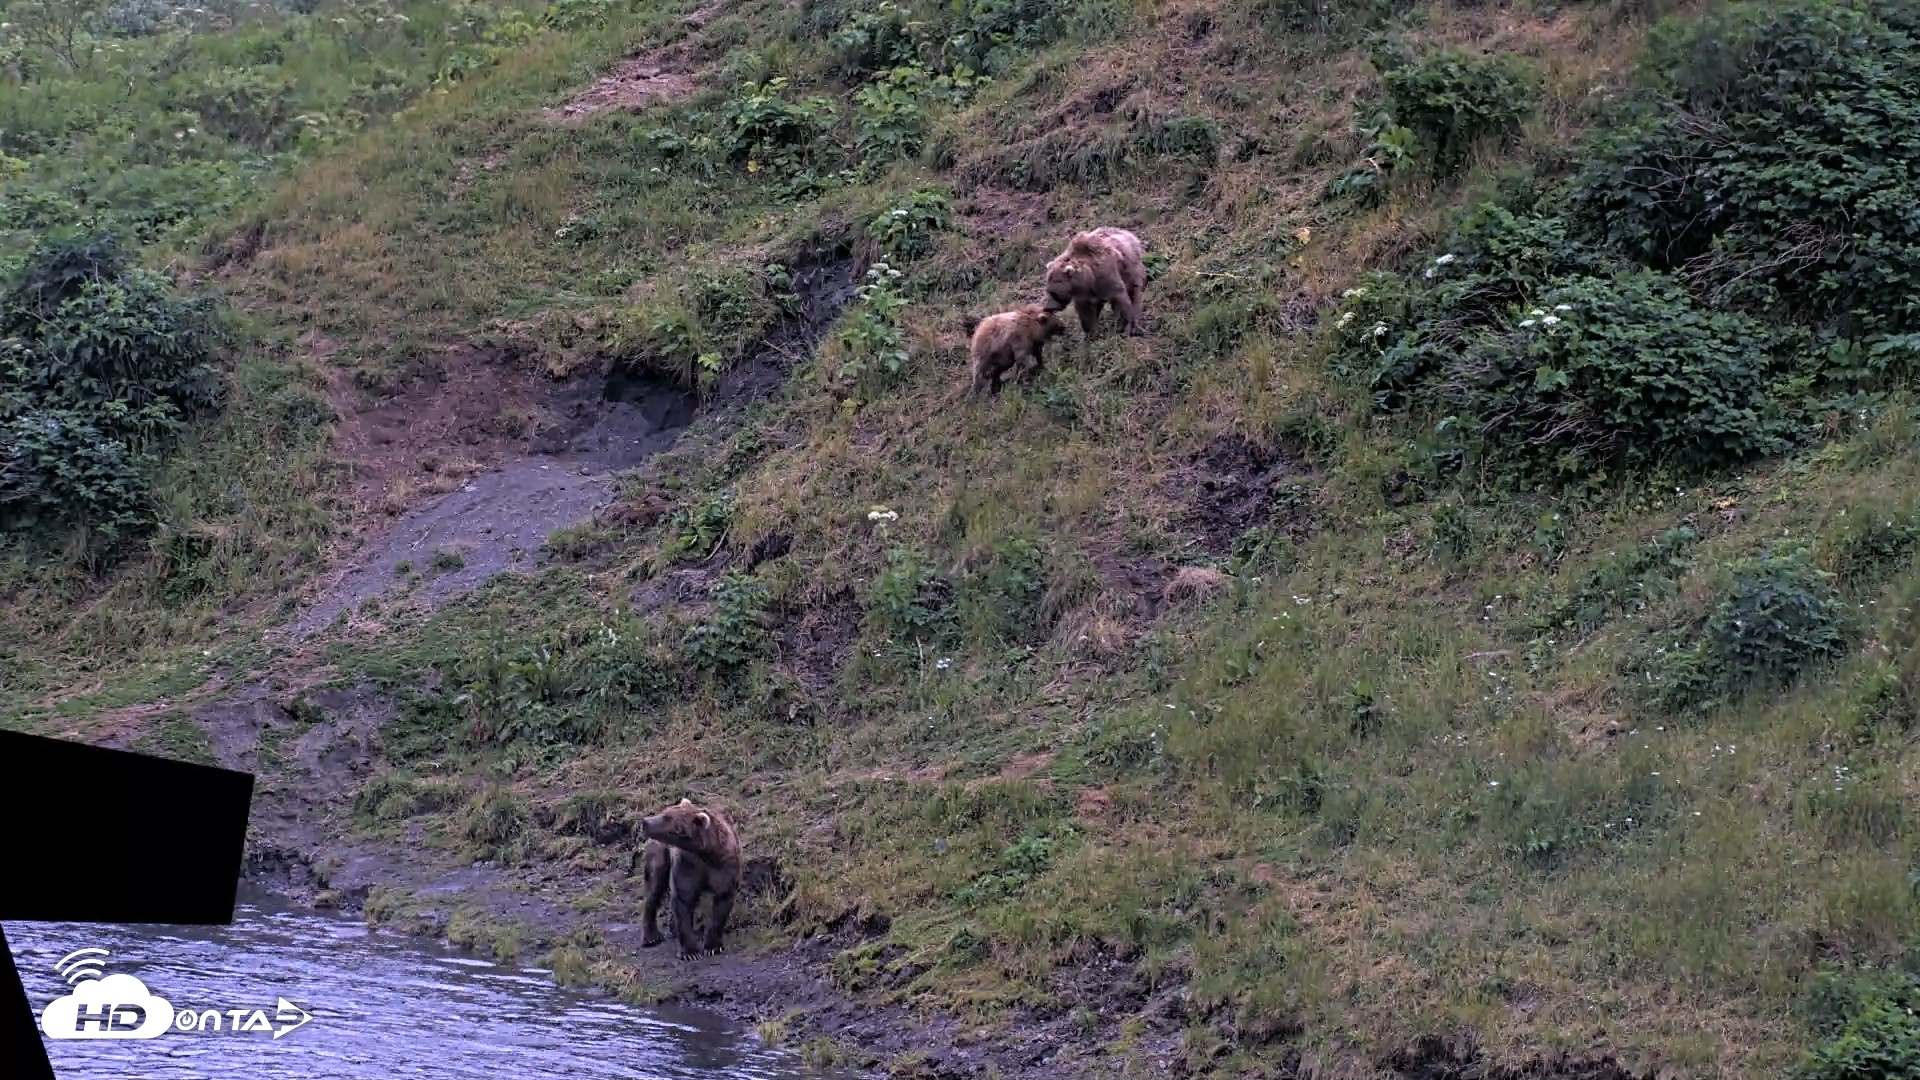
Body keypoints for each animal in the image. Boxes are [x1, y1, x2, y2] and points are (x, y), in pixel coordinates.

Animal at [632, 797, 742, 960]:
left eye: (669, 819)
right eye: (665, 812)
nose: (646, 822)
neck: (705, 854)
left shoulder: (725, 867)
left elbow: (722, 902)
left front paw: (712, 947)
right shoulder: (687, 865)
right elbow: (683, 899)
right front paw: (690, 952)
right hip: (660, 854)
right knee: (654, 888)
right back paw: (651, 937)